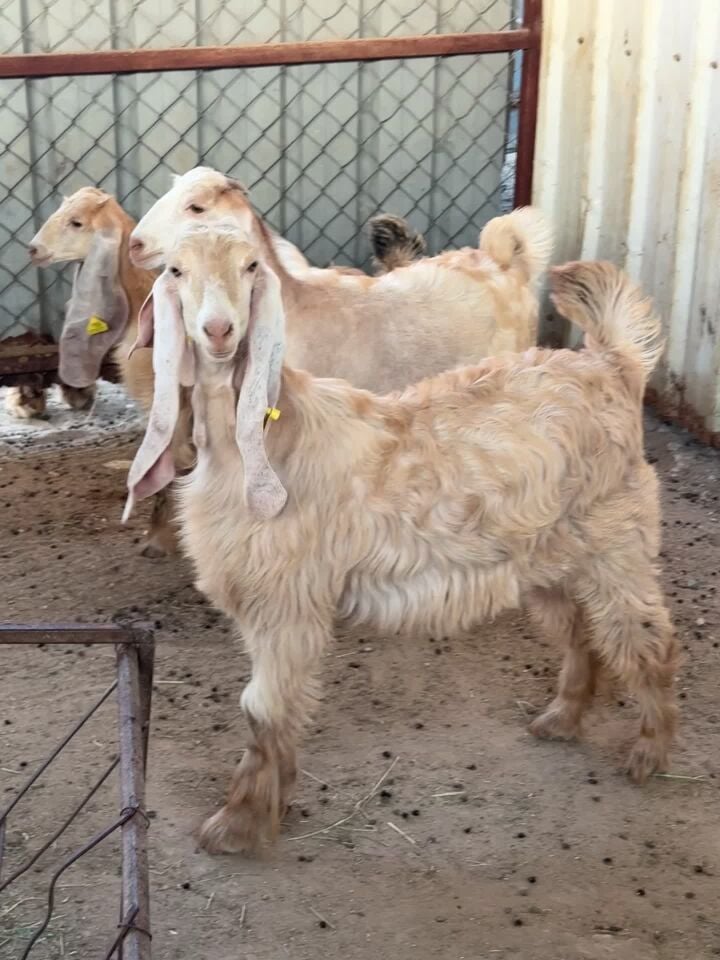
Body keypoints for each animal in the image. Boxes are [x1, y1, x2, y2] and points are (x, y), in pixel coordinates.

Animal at [124, 223, 678, 855]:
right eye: (176, 271)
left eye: (249, 267)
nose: (220, 331)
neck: (264, 441)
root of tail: (613, 365)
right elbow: (272, 712)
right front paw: (267, 805)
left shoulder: (288, 601)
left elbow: (263, 710)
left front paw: (239, 823)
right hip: (549, 554)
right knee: (580, 630)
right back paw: (562, 718)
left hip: (619, 542)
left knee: (647, 640)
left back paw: (650, 751)